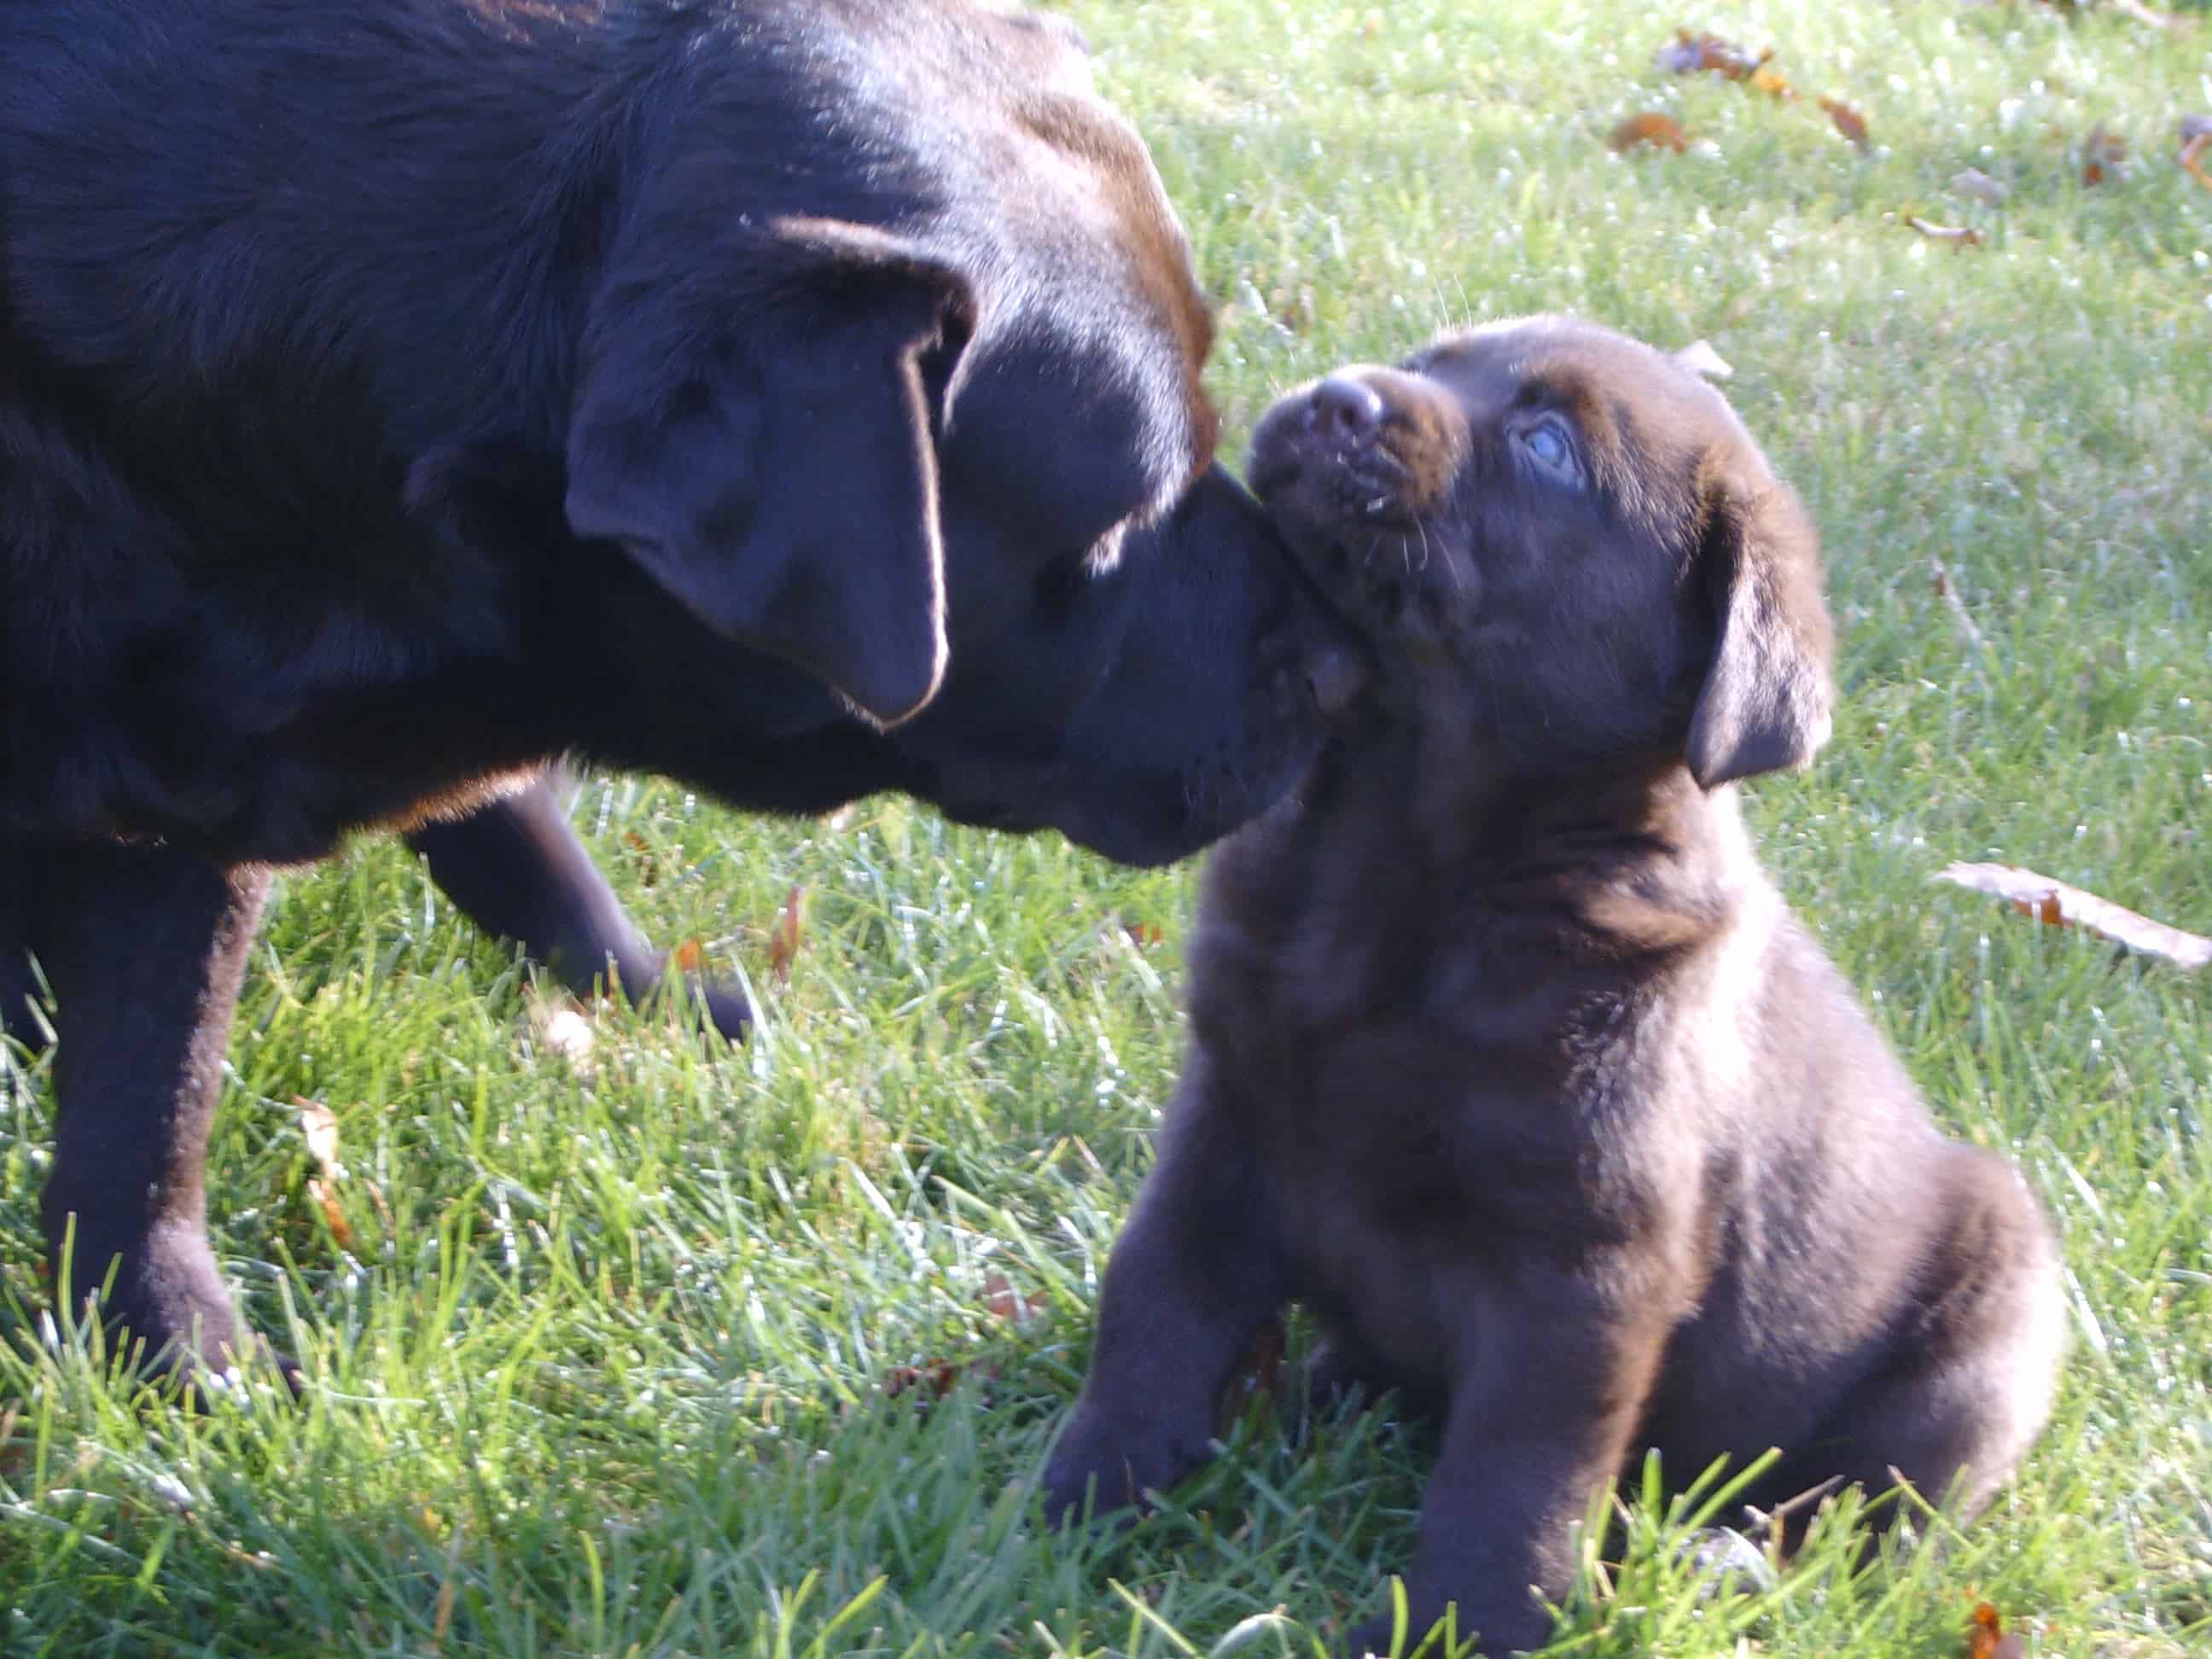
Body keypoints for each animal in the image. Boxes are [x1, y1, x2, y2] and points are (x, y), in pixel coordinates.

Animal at [0, 3, 1353, 1388]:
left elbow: (149, 1094)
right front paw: (177, 1362)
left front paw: (163, 1348)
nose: (1340, 660)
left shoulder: (194, 778)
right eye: (1124, 517)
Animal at [1044, 318, 2061, 1654]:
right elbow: (1156, 1298)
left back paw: (1735, 1560)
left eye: (1548, 448)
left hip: (1986, 1337)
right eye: (1434, 357)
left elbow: (1515, 1473)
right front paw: (1088, 1496)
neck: (1408, 851)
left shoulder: (1584, 1264)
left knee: (1863, 1524)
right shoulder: (1228, 1117)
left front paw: (1464, 1625)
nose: (1336, 399)